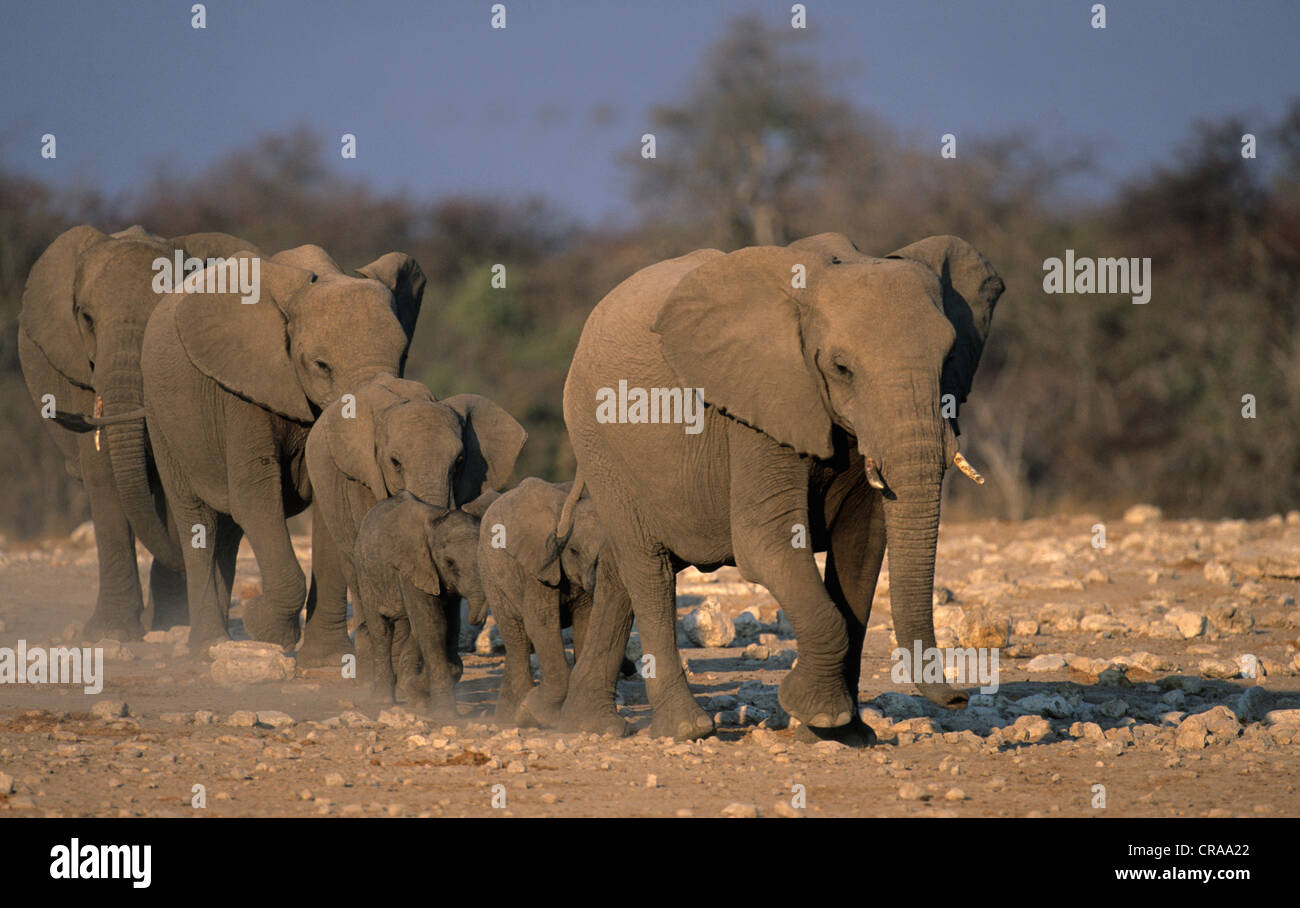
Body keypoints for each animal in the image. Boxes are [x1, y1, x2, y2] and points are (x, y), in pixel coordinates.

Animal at [18, 225, 262, 640]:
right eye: (87, 319)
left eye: (160, 319)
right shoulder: (80, 368)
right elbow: (102, 471)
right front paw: (110, 634)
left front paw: (170, 621)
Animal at [140, 243, 425, 655]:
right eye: (321, 365)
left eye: (403, 357)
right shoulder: (241, 389)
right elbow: (256, 497)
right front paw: (264, 627)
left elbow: (326, 503)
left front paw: (326, 658)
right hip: (162, 415)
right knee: (197, 518)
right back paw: (209, 647)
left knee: (227, 531)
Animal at [353, 491, 485, 717]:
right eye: (450, 563)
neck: (435, 523)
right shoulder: (414, 566)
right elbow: (432, 626)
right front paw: (445, 714)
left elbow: (447, 626)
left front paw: (416, 695)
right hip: (365, 572)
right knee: (381, 629)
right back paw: (382, 701)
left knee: (408, 626)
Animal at [557, 232, 1004, 742]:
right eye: (842, 368)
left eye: (949, 360)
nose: (960, 697)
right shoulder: (758, 408)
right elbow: (764, 543)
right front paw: (818, 715)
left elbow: (862, 547)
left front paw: (845, 735)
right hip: (598, 442)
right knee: (647, 567)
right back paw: (687, 729)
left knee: (618, 570)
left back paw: (586, 726)